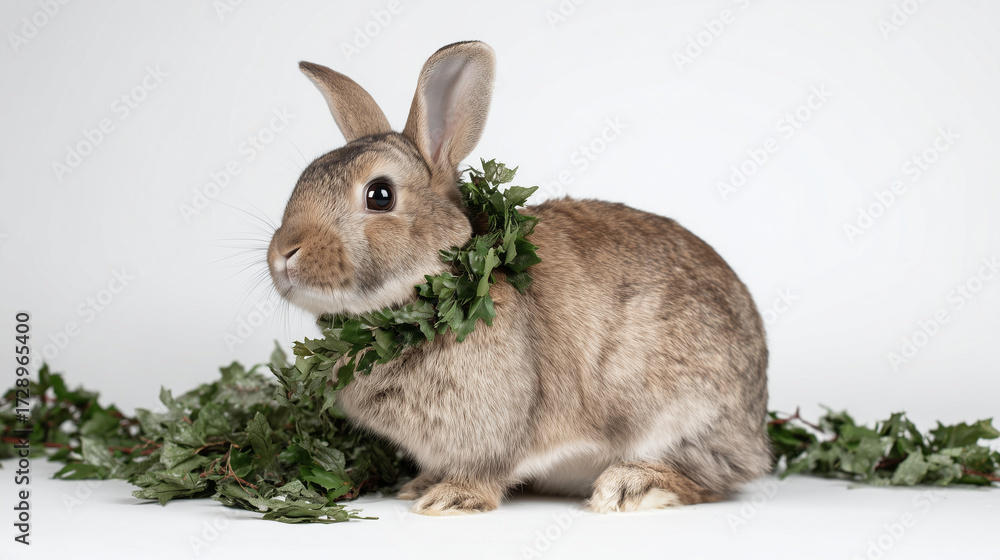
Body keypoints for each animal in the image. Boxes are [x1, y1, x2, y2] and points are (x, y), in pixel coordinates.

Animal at [267, 40, 771, 515]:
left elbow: (485, 469)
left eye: (380, 195)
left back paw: (629, 487)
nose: (283, 254)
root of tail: (756, 424)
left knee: (707, 478)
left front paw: (449, 499)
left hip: (683, 418)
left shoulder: (492, 427)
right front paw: (419, 486)